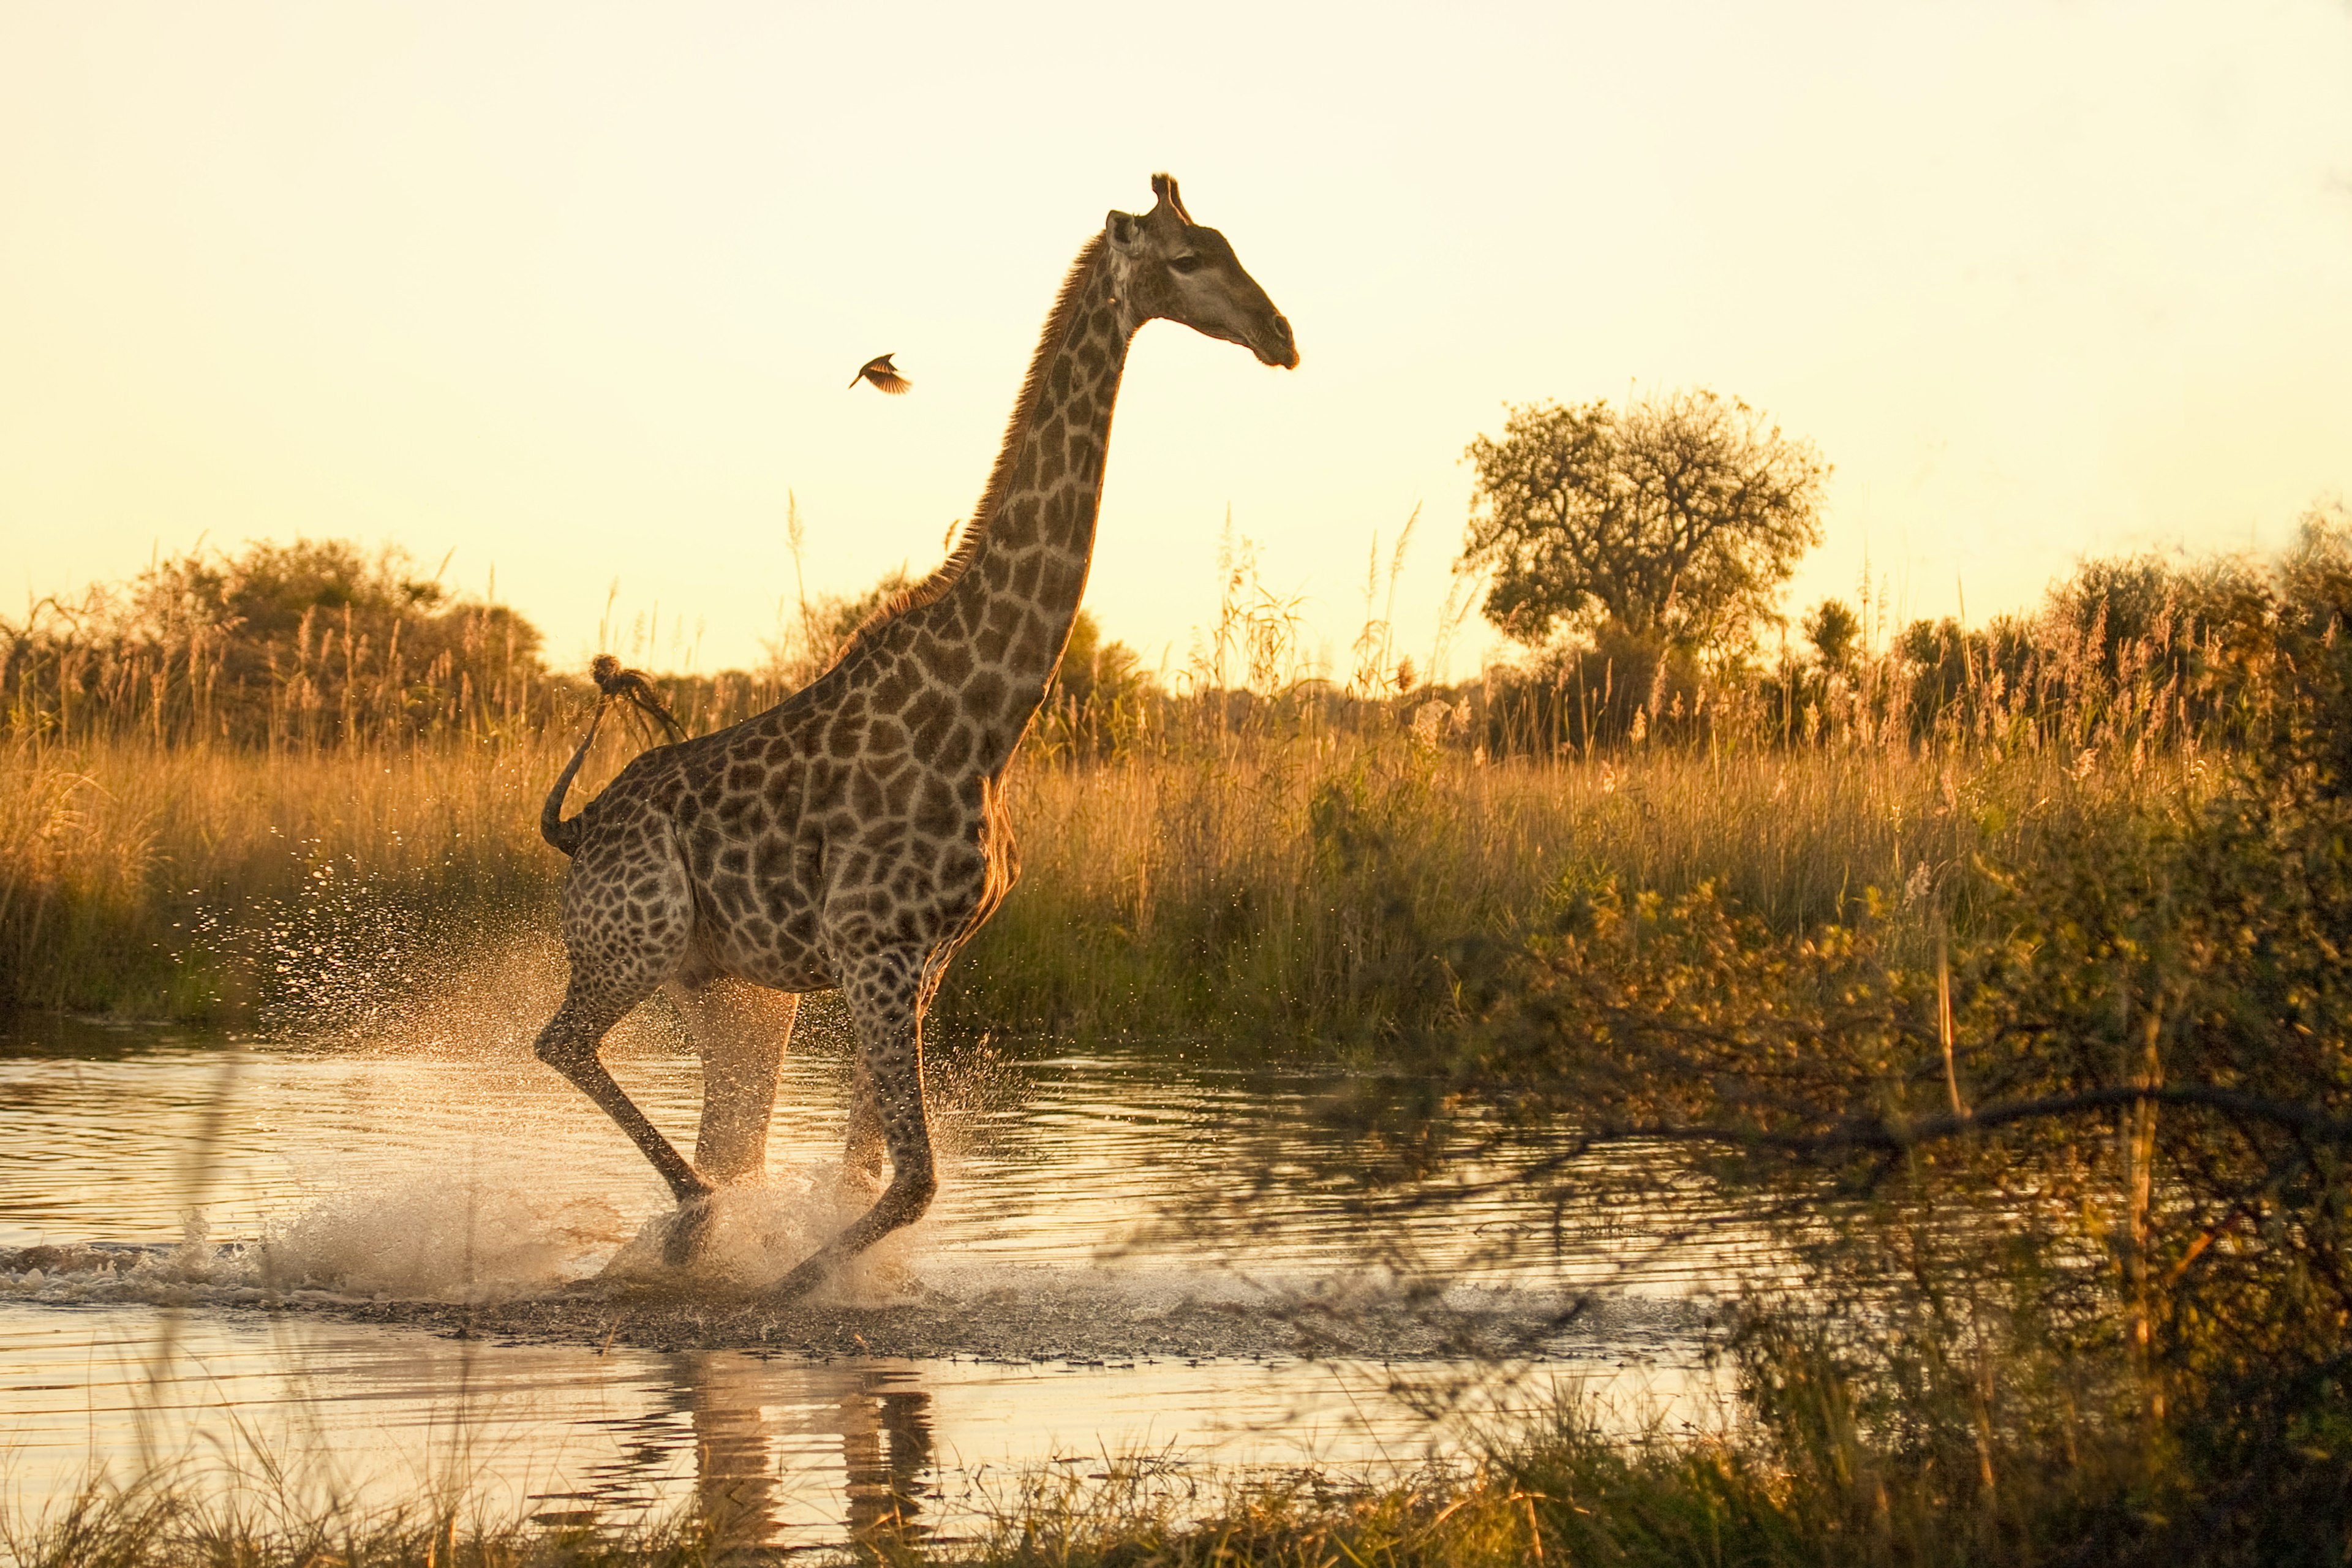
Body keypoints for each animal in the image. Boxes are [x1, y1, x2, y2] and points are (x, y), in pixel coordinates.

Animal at [536, 175, 1298, 1297]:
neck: (987, 724)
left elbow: (867, 1175)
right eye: (1190, 259)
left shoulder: (922, 963)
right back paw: (692, 1223)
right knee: (564, 1045)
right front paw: (792, 1286)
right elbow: (912, 1183)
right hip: (636, 943)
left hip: (729, 990)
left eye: (1232, 244)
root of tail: (576, 830)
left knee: (727, 1129)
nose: (1281, 335)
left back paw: (691, 1233)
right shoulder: (875, 953)